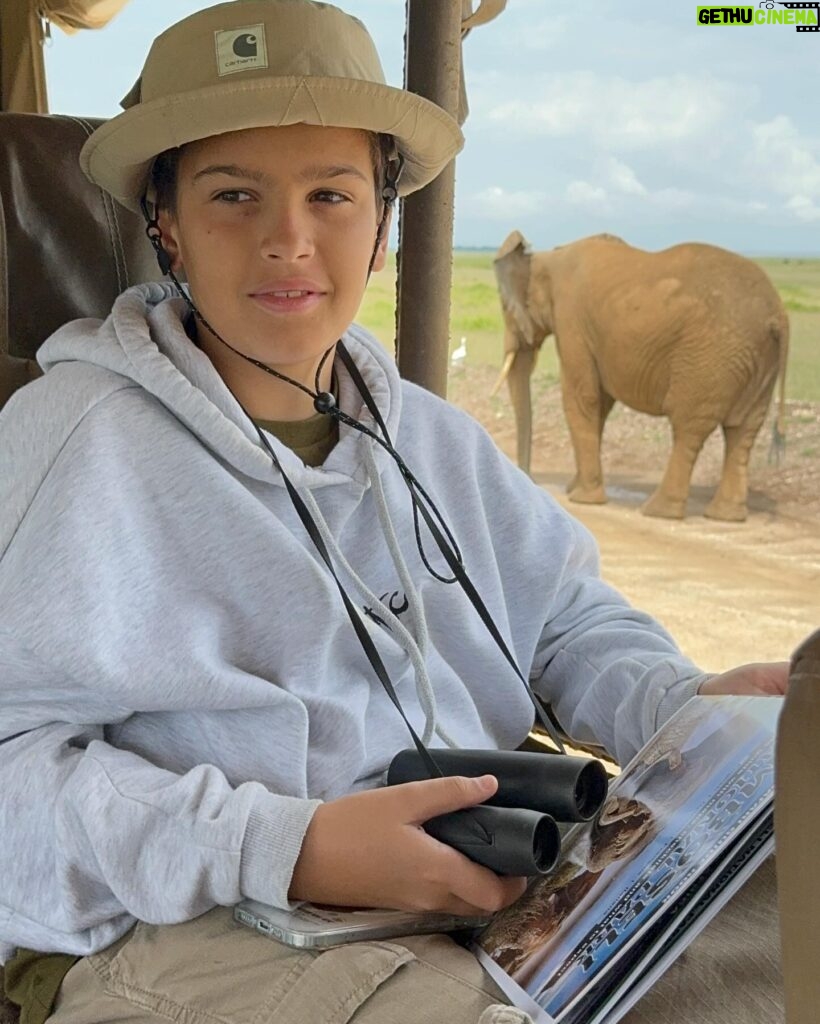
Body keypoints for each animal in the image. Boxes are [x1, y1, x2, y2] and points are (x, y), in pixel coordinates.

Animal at [493, 232, 786, 520]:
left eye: (505, 308)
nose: (530, 479)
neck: (544, 260)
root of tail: (777, 317)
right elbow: (600, 403)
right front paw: (574, 489)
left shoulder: (571, 321)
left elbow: (581, 398)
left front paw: (582, 498)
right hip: (756, 362)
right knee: (743, 431)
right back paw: (726, 516)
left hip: (710, 358)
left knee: (689, 428)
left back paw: (658, 511)